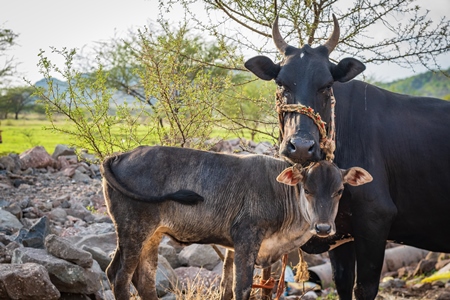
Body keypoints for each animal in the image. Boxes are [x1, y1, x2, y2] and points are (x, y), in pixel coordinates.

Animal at [100, 144, 370, 298]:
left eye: (339, 191)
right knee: (119, 276)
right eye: (307, 190)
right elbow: (241, 287)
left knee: (144, 279)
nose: (323, 227)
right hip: (134, 230)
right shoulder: (246, 238)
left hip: (152, 235)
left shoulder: (251, 251)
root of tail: (120, 155)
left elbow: (236, 287)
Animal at [244, 15, 450, 300]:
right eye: (281, 83)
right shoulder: (337, 229)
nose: (301, 147)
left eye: (327, 85)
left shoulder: (375, 220)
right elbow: (342, 282)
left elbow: (363, 287)